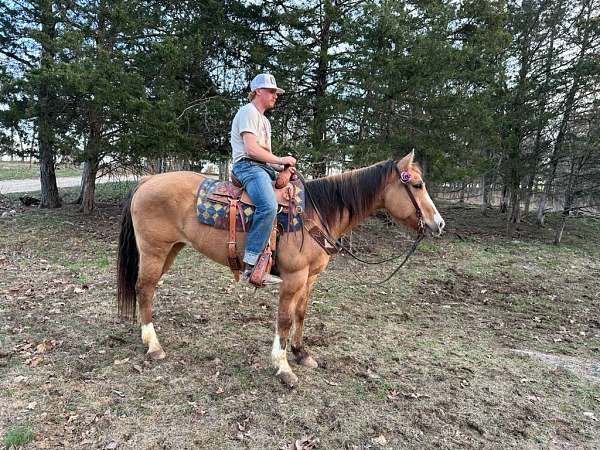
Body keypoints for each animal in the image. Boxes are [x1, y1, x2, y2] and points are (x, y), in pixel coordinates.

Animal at [118, 151, 446, 386]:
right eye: (417, 185)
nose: (439, 224)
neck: (315, 212)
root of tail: (147, 181)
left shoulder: (310, 278)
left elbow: (301, 314)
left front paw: (301, 353)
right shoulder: (293, 278)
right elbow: (285, 319)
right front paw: (283, 366)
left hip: (171, 250)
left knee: (146, 290)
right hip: (155, 250)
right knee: (144, 289)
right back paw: (153, 345)